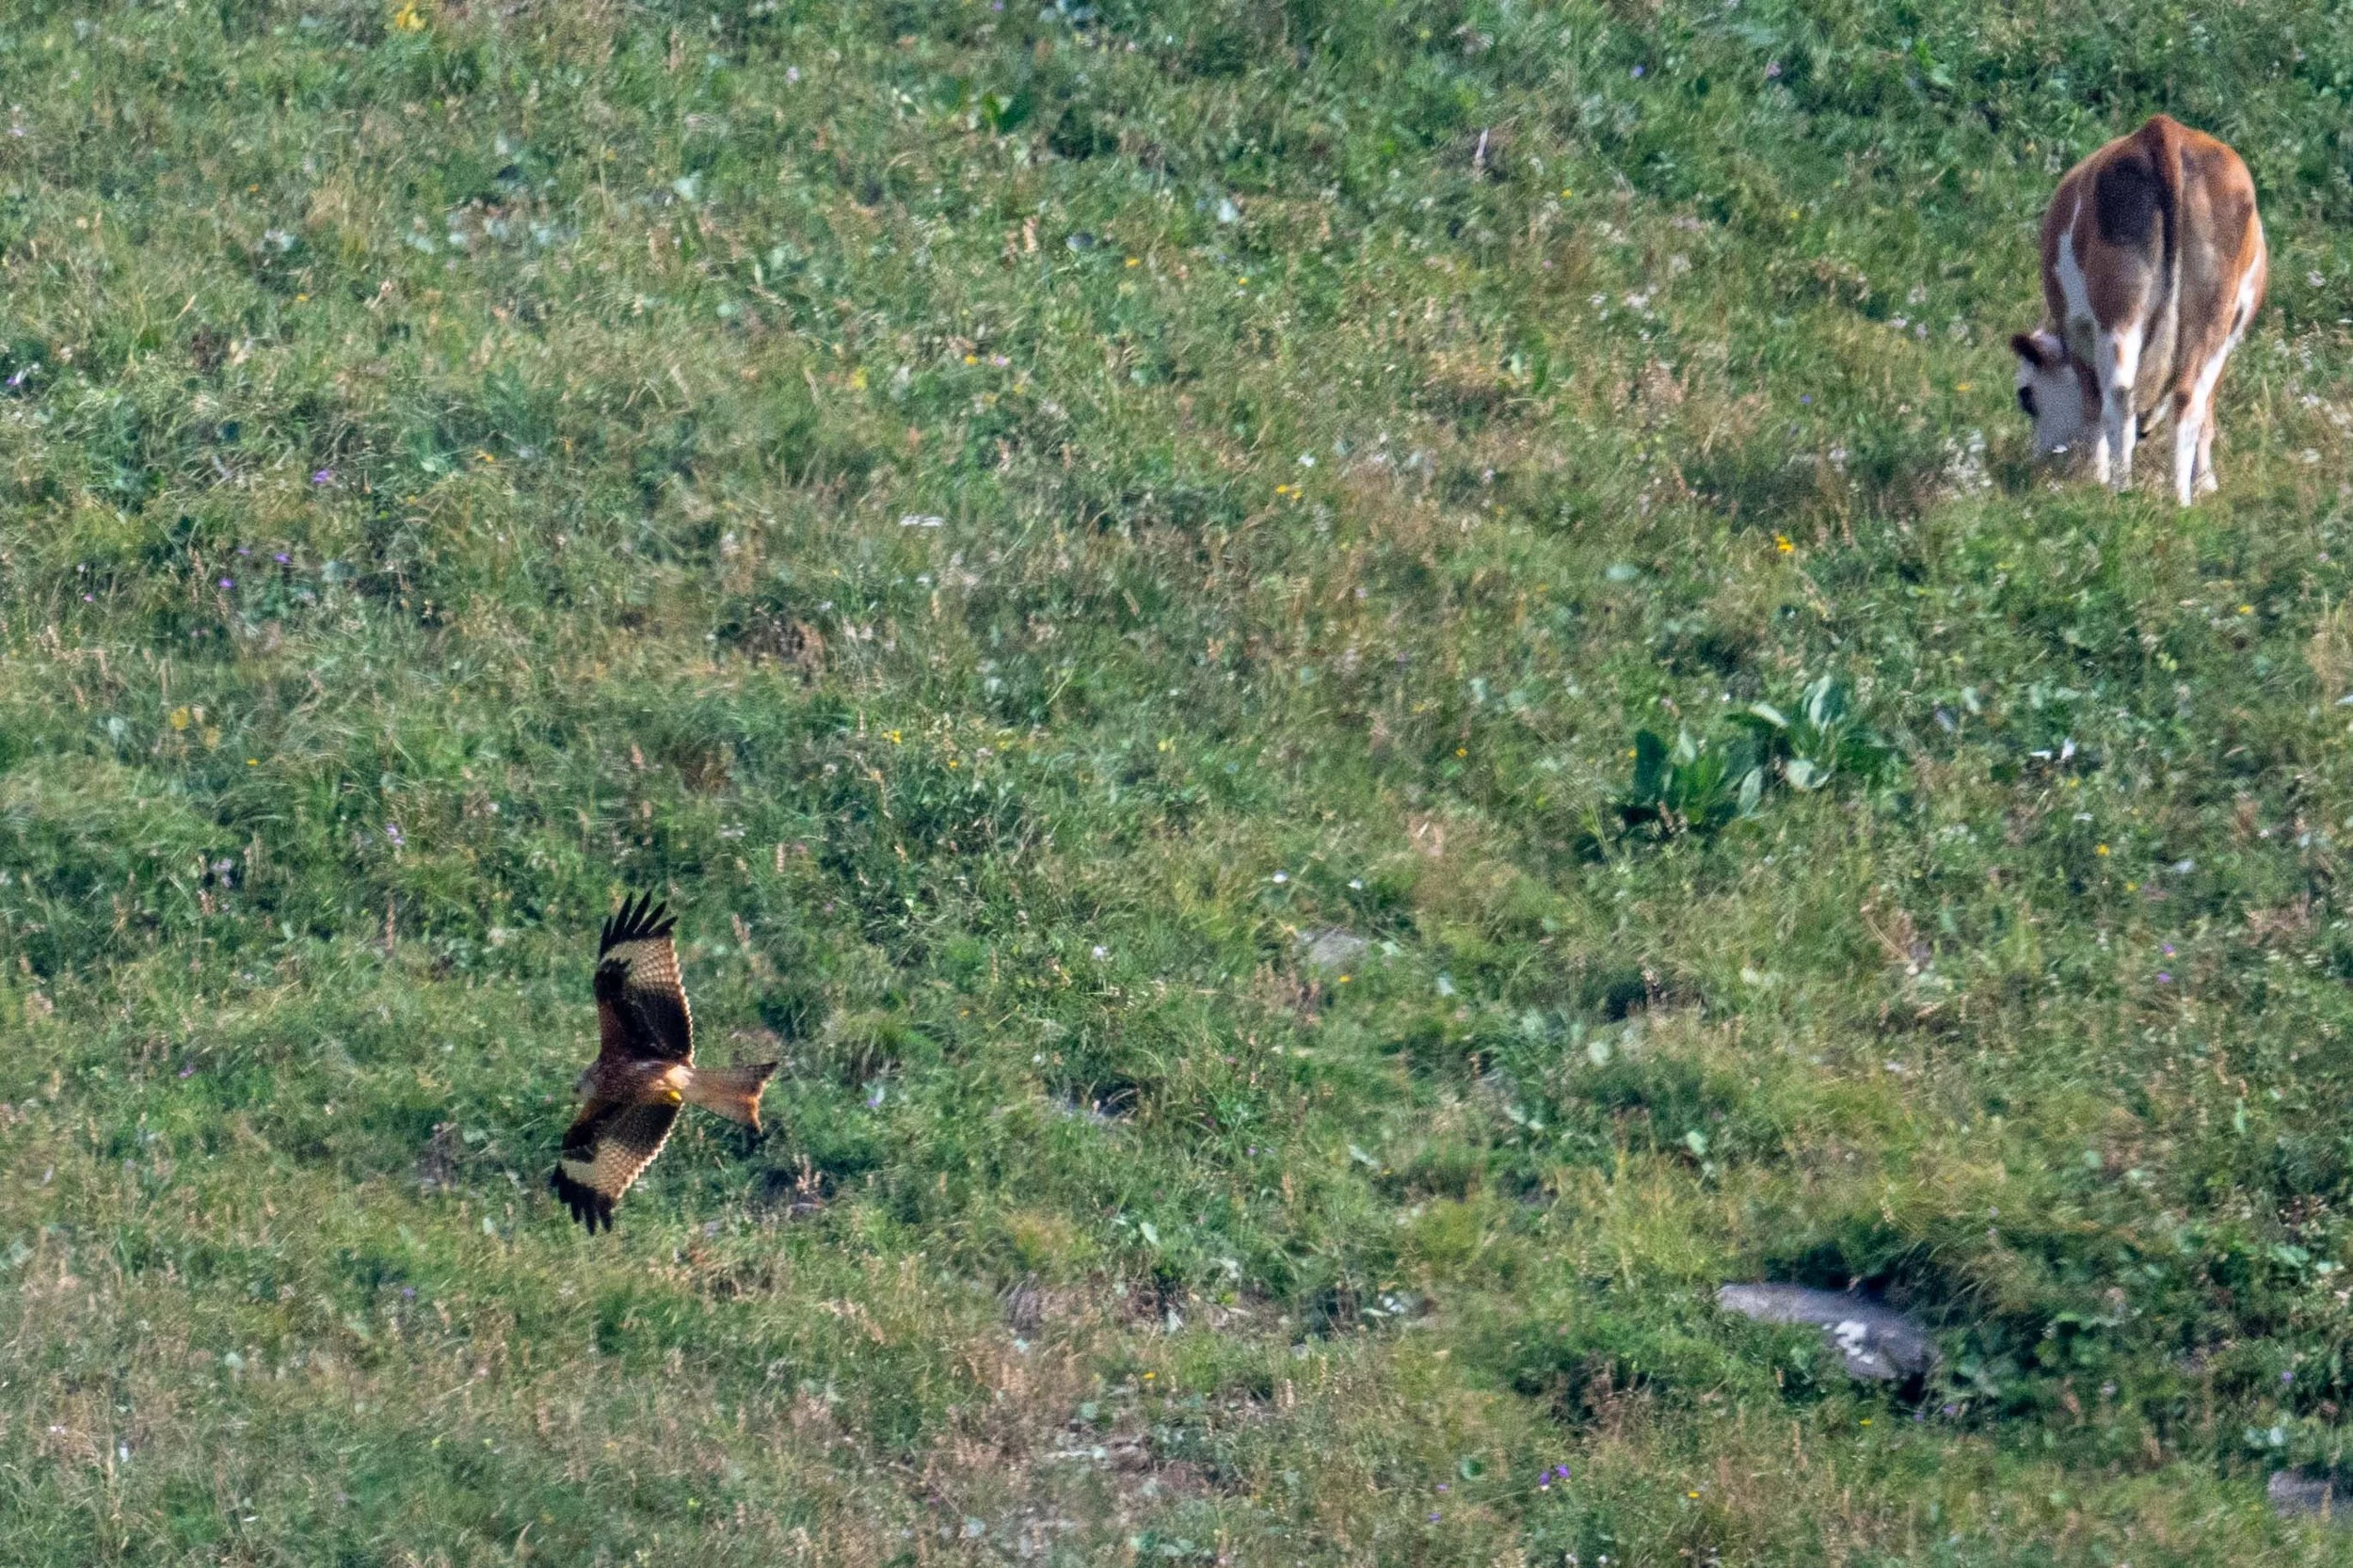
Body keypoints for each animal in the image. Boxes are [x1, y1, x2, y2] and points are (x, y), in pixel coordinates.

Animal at [2011, 115, 2266, 507]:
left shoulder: (2077, 328)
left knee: (2119, 392)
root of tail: (2162, 130)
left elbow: (2093, 406)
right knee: (2188, 397)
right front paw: (2206, 483)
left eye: (2027, 396)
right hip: (2210, 312)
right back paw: (2179, 499)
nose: (2038, 459)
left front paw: (2095, 475)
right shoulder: (2230, 336)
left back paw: (2119, 486)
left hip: (2120, 308)